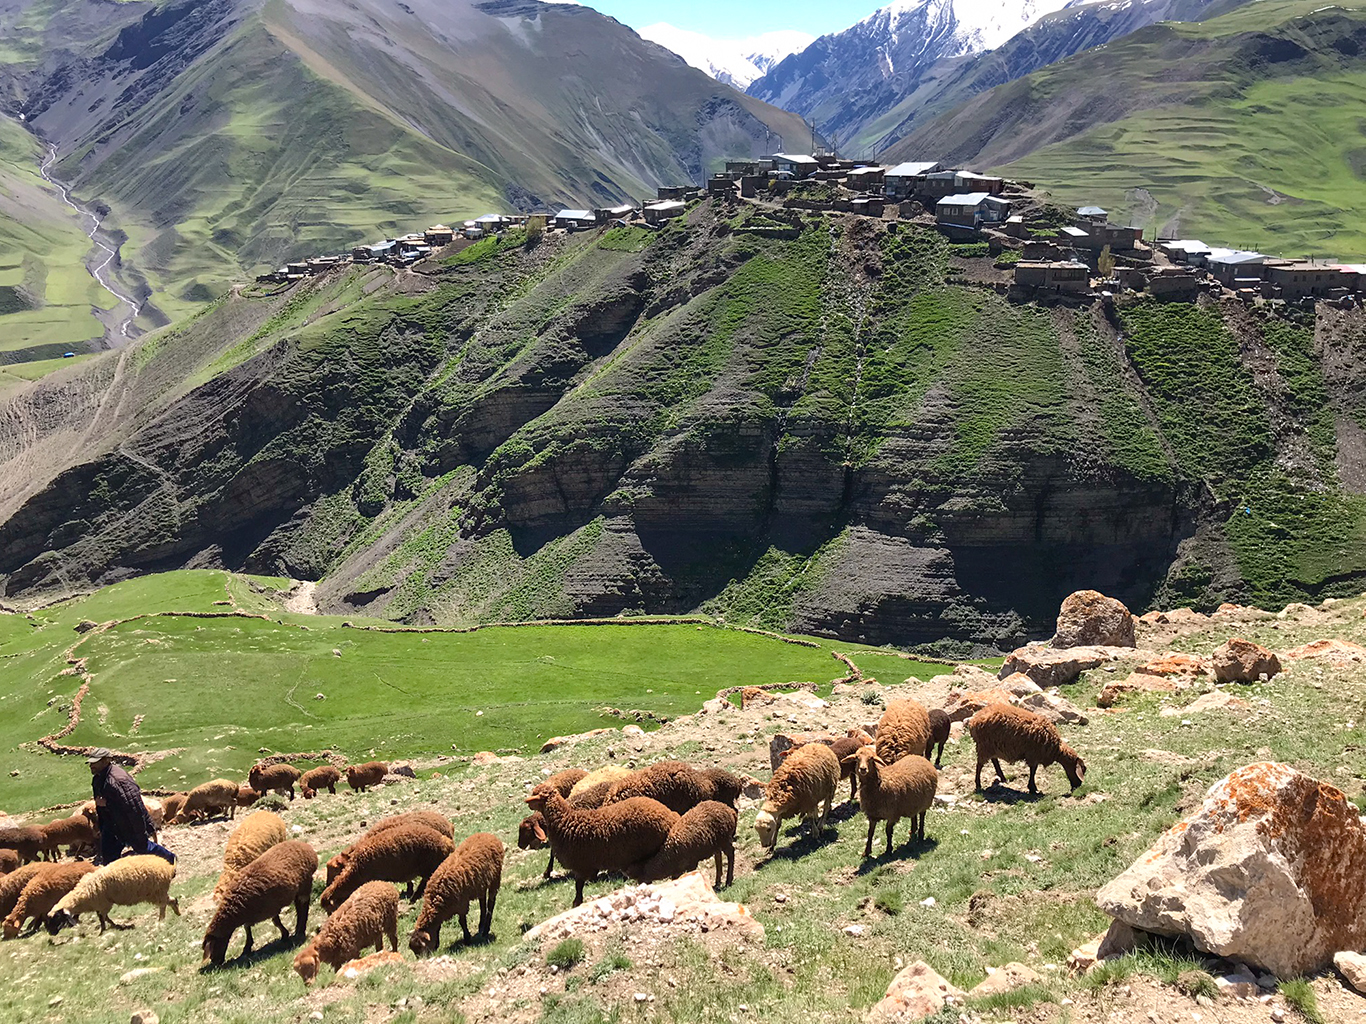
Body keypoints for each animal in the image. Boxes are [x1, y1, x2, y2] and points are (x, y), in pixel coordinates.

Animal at [46, 851, 178, 933]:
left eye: (57, 917)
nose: (51, 933)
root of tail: (169, 868)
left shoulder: (103, 904)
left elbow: (103, 918)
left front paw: (105, 929)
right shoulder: (101, 905)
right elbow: (104, 917)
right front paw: (113, 926)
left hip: (156, 891)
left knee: (164, 904)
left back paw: (161, 920)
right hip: (158, 892)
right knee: (171, 900)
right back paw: (177, 912)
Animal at [199, 835, 316, 966]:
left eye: (213, 945)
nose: (216, 962)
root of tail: (305, 846)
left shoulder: (270, 907)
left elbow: (275, 922)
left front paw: (284, 935)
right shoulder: (252, 913)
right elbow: (247, 928)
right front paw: (247, 948)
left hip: (305, 884)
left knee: (303, 907)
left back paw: (300, 931)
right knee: (299, 907)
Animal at [316, 824, 450, 912]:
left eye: (330, 909)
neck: (355, 871)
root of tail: (447, 843)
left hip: (430, 866)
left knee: (426, 881)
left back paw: (415, 897)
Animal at [521, 791, 677, 912]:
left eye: (537, 797)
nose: (527, 802)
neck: (566, 821)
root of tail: (670, 816)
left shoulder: (580, 865)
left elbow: (578, 887)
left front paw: (576, 903)